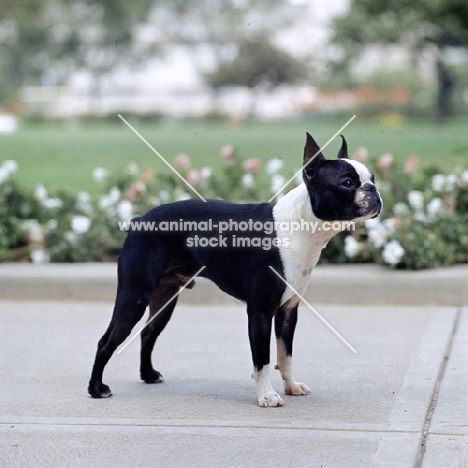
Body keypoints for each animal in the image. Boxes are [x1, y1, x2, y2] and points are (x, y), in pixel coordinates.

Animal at [88, 132, 380, 406]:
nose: (373, 190)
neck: (301, 227)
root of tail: (139, 220)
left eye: (373, 178)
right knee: (107, 340)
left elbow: (285, 355)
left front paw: (291, 386)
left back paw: (147, 375)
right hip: (135, 295)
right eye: (347, 183)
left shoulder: (288, 310)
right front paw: (267, 396)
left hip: (165, 297)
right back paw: (96, 389)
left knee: (148, 332)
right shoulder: (260, 311)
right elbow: (262, 360)